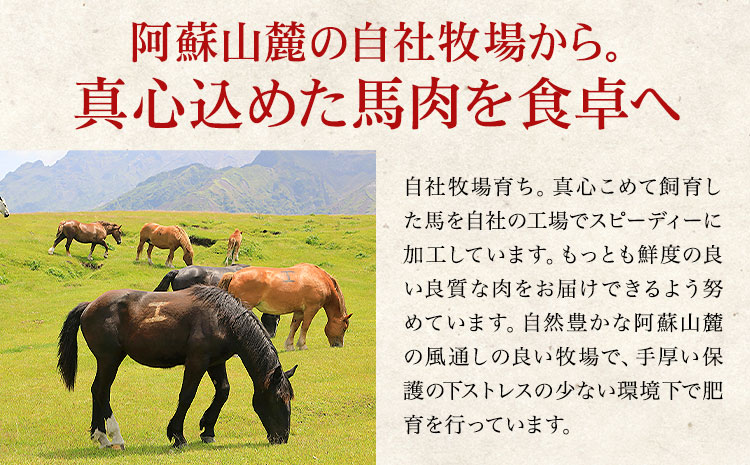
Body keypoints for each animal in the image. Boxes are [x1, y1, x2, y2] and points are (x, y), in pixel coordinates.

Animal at [57, 285, 297, 449]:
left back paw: (101, 437)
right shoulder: (196, 362)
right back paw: (115, 436)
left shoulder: (216, 362)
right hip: (110, 360)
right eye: (278, 398)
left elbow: (223, 392)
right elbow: (186, 396)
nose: (283, 437)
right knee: (101, 391)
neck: (222, 318)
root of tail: (89, 306)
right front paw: (177, 435)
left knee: (96, 391)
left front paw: (207, 430)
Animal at [218, 263, 352, 350]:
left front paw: (290, 345)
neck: (319, 279)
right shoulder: (311, 309)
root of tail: (234, 275)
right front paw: (302, 345)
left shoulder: (299, 311)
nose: (339, 345)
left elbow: (294, 327)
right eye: (344, 328)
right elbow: (305, 327)